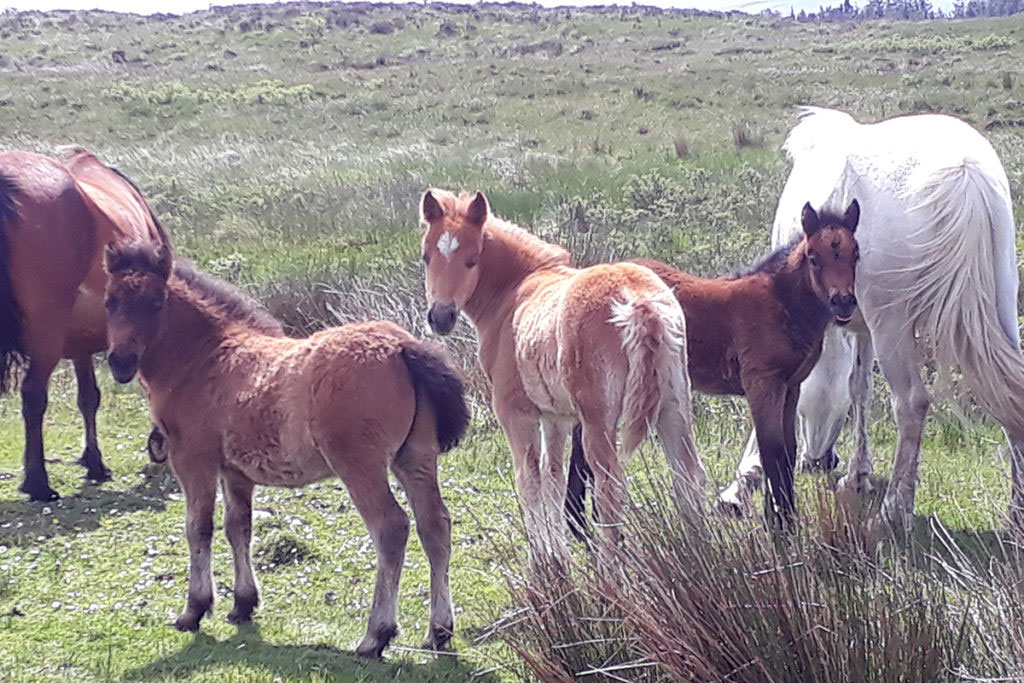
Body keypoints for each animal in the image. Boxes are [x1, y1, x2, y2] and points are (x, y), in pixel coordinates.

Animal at [0, 149, 167, 501]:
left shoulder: (80, 343)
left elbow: (88, 397)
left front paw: (94, 462)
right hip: (46, 335)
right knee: (33, 395)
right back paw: (38, 483)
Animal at [101, 242, 466, 659]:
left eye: (156, 301)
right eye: (110, 301)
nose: (121, 362)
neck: (205, 359)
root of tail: (403, 346)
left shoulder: (192, 460)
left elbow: (199, 528)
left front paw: (194, 610)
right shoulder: (235, 471)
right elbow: (238, 527)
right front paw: (242, 604)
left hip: (360, 464)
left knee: (391, 529)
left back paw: (376, 635)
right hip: (416, 457)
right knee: (434, 526)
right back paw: (438, 631)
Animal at [419, 188, 700, 561]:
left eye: (472, 259)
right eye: (426, 256)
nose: (440, 317)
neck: (514, 292)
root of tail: (638, 301)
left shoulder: (514, 412)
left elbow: (528, 480)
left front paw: (541, 560)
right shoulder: (556, 417)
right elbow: (552, 477)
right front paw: (558, 553)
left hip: (598, 420)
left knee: (610, 489)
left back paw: (609, 570)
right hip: (673, 403)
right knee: (688, 475)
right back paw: (702, 549)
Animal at [565, 200, 860, 532]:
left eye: (855, 254)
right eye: (813, 257)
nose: (843, 302)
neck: (781, 305)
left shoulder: (790, 387)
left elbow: (787, 452)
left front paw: (784, 520)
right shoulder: (762, 385)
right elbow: (772, 453)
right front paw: (780, 529)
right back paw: (579, 526)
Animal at [720, 108, 1024, 528]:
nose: (820, 461)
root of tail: (966, 174)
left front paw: (741, 483)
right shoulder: (859, 326)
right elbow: (858, 387)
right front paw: (857, 475)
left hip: (892, 324)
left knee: (912, 403)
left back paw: (894, 509)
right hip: (999, 311)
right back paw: (1015, 513)